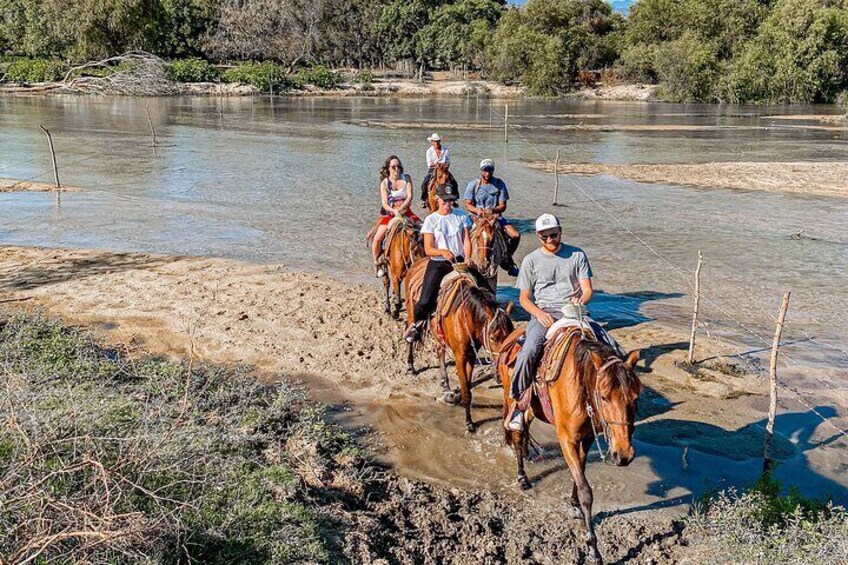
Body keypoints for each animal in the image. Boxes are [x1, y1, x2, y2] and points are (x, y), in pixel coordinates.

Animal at [402, 258, 512, 432]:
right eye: (493, 338)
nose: (502, 373)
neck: (466, 314)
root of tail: (418, 262)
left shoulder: (471, 354)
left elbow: (467, 385)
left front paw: (454, 396)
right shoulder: (460, 355)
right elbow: (466, 390)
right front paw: (469, 423)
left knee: (440, 350)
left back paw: (445, 384)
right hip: (411, 310)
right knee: (410, 333)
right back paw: (410, 365)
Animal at [494, 326, 640, 564]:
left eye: (635, 398)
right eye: (604, 397)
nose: (624, 454)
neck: (581, 385)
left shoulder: (586, 438)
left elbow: (578, 473)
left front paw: (574, 505)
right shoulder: (566, 439)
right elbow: (585, 490)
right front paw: (593, 548)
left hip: (533, 408)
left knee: (524, 431)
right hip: (512, 399)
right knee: (516, 434)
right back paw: (522, 477)